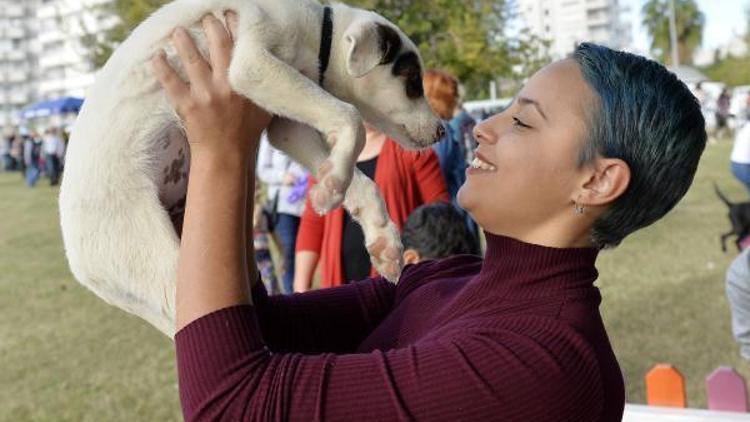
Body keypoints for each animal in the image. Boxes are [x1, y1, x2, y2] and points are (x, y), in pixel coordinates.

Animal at [61, 0, 446, 336]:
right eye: (414, 82)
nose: (442, 130)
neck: (316, 31)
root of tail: (81, 268)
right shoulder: (252, 65)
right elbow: (352, 117)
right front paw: (334, 183)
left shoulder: (284, 127)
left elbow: (362, 180)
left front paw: (378, 234)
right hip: (158, 263)